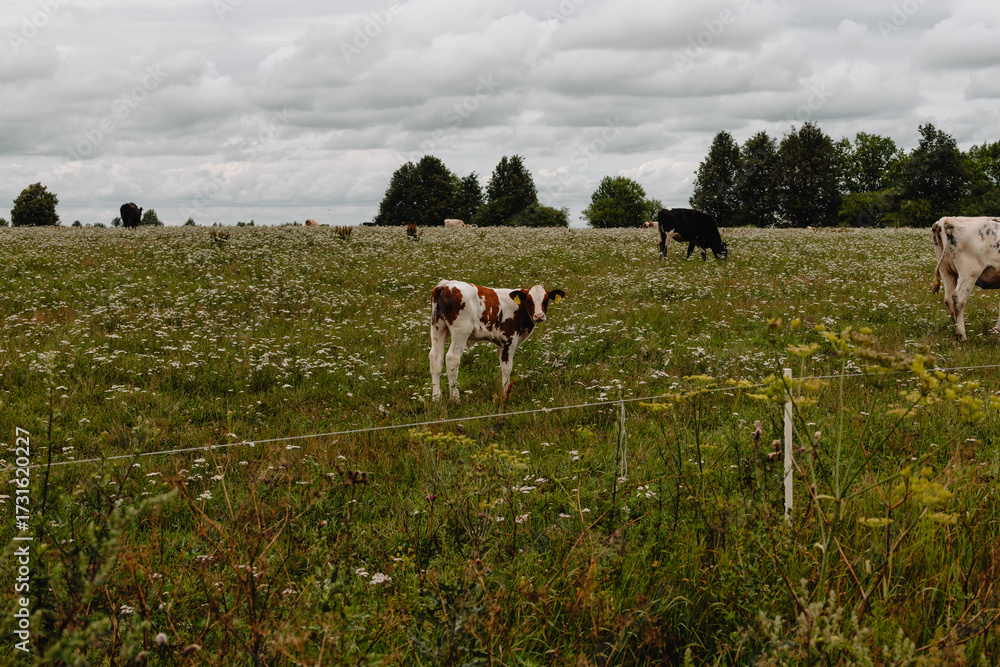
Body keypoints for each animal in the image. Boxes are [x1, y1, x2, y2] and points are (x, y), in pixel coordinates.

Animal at [430, 280, 566, 403]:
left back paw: (436, 398)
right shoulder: (509, 340)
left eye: (546, 300)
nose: (539, 316)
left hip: (438, 329)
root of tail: (446, 285)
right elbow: (507, 368)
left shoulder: (500, 344)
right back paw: (455, 399)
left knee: (436, 358)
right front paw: (505, 395)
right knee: (452, 359)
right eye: (529, 300)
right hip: (461, 331)